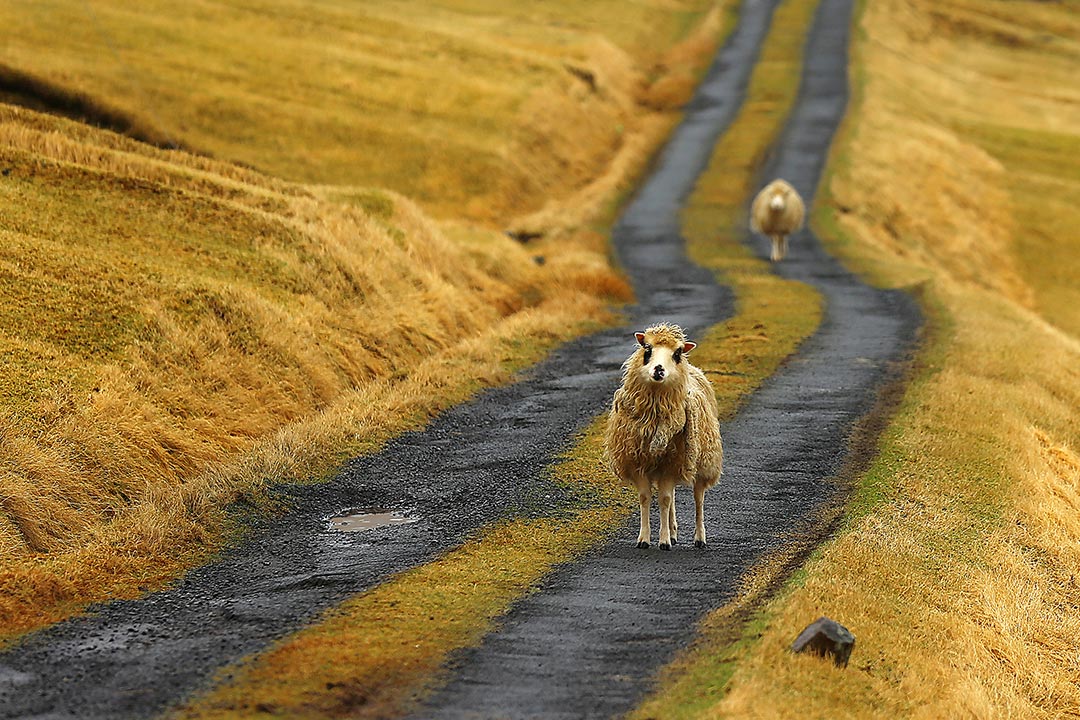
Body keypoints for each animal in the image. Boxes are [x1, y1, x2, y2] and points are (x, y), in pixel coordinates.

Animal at [604, 323, 723, 550]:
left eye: (677, 353)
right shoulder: (640, 462)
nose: (659, 369)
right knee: (672, 496)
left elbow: (665, 500)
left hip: (701, 463)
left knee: (698, 499)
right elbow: (646, 498)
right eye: (647, 348)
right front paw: (644, 538)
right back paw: (674, 531)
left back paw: (699, 538)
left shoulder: (670, 464)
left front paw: (664, 540)